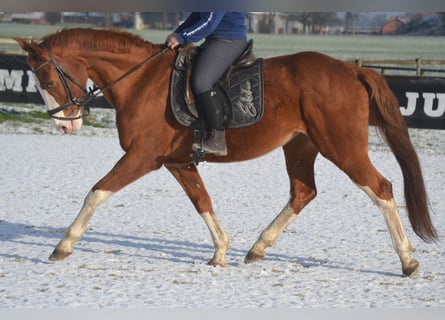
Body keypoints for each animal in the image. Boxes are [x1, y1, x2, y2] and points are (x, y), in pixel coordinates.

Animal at [14, 28, 438, 276]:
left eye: (47, 79)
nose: (65, 124)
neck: (142, 81)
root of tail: (351, 70)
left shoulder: (142, 157)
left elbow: (97, 192)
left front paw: (63, 245)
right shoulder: (177, 162)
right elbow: (202, 201)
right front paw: (220, 251)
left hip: (342, 146)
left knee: (381, 188)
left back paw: (407, 260)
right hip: (301, 147)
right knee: (303, 192)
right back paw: (258, 248)